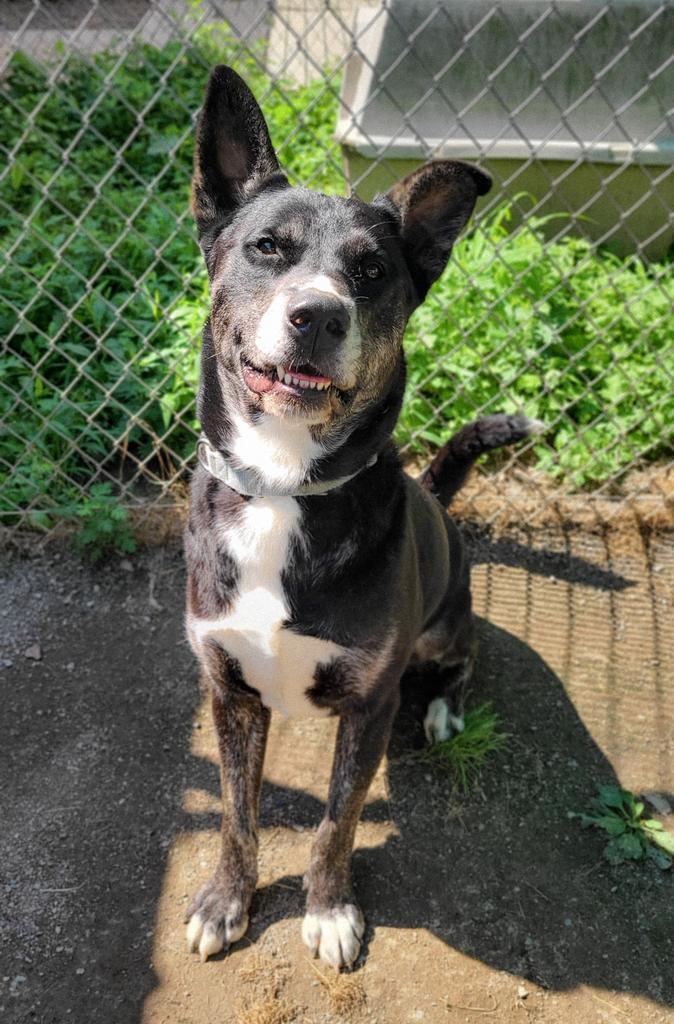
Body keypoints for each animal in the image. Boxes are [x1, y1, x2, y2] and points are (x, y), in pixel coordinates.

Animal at [181, 66, 536, 966]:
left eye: (373, 271)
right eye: (268, 247)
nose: (319, 314)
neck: (283, 488)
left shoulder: (370, 706)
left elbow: (336, 821)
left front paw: (331, 907)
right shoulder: (227, 692)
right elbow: (237, 813)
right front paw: (226, 900)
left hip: (445, 627)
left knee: (460, 664)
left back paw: (443, 710)